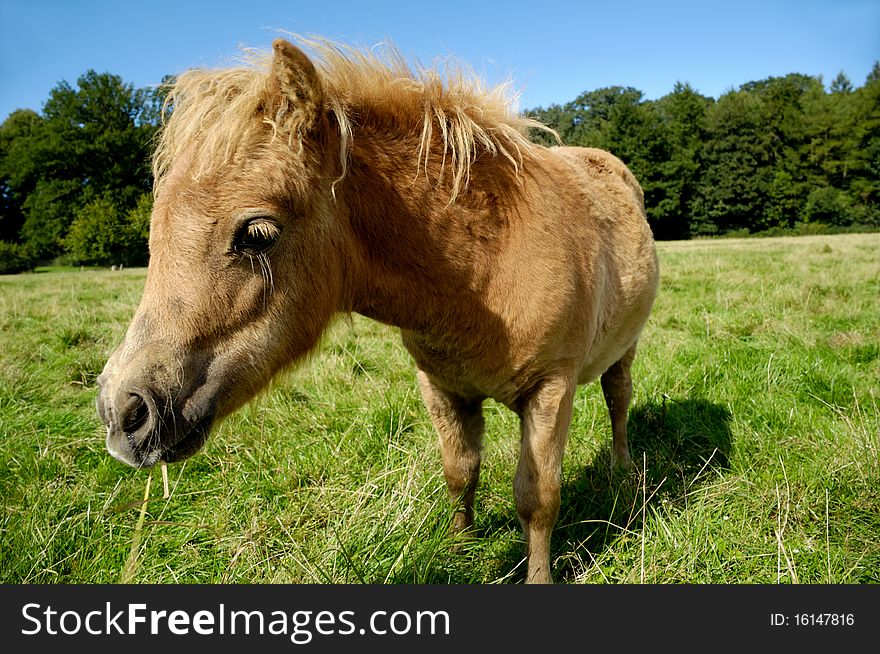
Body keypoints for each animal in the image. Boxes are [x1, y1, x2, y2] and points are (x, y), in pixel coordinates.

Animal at [98, 38, 660, 588]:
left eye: (257, 233)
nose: (122, 412)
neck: (489, 263)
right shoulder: (442, 387)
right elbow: (460, 471)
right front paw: (459, 547)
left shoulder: (550, 387)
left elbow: (537, 499)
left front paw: (537, 576)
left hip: (623, 351)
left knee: (618, 400)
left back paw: (622, 469)